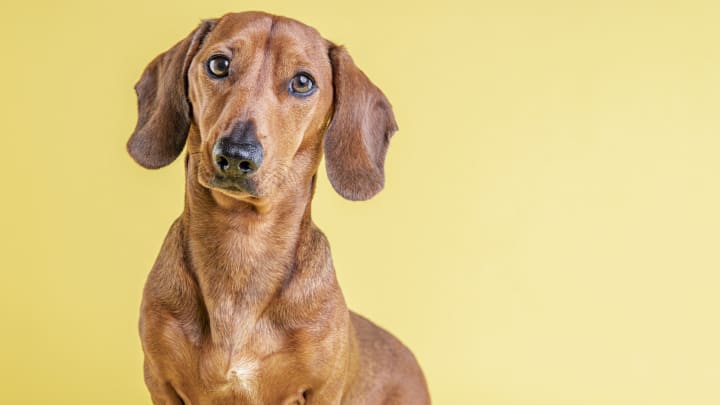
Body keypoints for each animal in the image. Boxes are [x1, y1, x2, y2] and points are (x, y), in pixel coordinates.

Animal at [126, 11, 430, 402]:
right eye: (218, 64)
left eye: (302, 82)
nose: (236, 155)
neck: (244, 240)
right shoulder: (160, 383)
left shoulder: (321, 391)